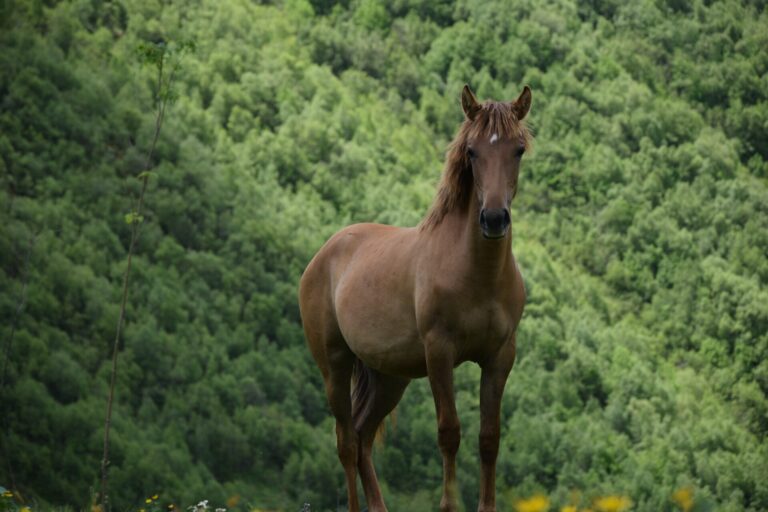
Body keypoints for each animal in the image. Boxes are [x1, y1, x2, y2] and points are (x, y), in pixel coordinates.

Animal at [299, 84, 532, 512]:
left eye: (518, 149)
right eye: (472, 151)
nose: (494, 219)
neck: (478, 275)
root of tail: (325, 254)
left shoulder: (499, 356)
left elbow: (489, 438)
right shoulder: (439, 353)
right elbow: (449, 432)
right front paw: (448, 505)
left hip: (390, 377)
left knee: (362, 437)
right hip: (335, 366)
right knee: (345, 442)